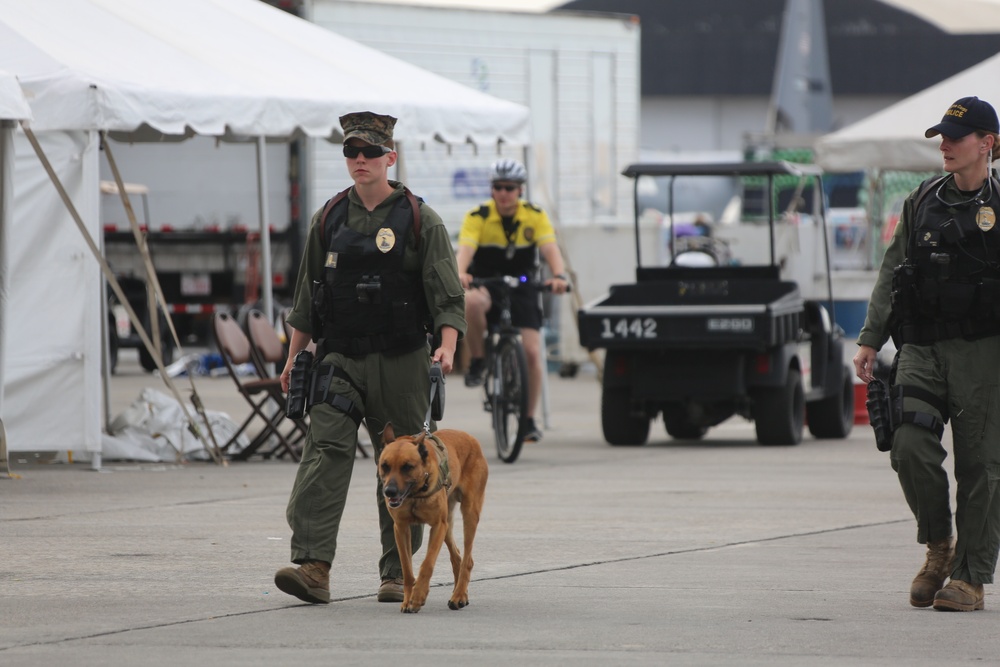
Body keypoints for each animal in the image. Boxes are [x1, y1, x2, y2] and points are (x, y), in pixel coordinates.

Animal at [378, 426, 488, 612]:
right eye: (384, 466)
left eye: (407, 467)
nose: (389, 492)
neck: (416, 494)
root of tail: (469, 437)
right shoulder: (401, 528)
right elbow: (407, 568)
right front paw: (408, 599)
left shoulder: (437, 526)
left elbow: (427, 564)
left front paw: (418, 596)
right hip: (447, 524)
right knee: (457, 557)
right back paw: (461, 594)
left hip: (469, 514)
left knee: (467, 560)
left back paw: (458, 595)